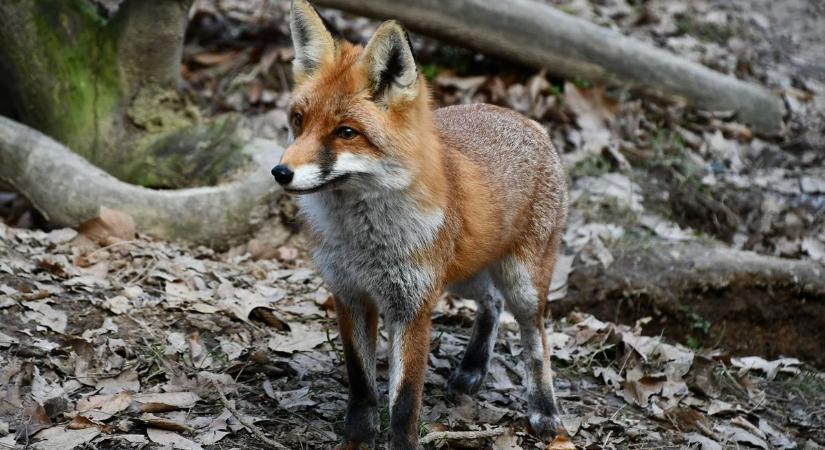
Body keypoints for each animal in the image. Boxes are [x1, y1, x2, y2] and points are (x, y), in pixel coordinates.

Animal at [274, 1, 568, 448]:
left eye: (346, 132)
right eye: (298, 120)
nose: (281, 172)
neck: (364, 243)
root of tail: (528, 121)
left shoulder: (412, 307)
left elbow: (404, 401)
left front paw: (399, 440)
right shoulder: (349, 294)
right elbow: (362, 384)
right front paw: (357, 439)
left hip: (522, 284)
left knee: (536, 339)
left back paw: (544, 409)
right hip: (463, 277)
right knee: (491, 303)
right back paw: (473, 368)